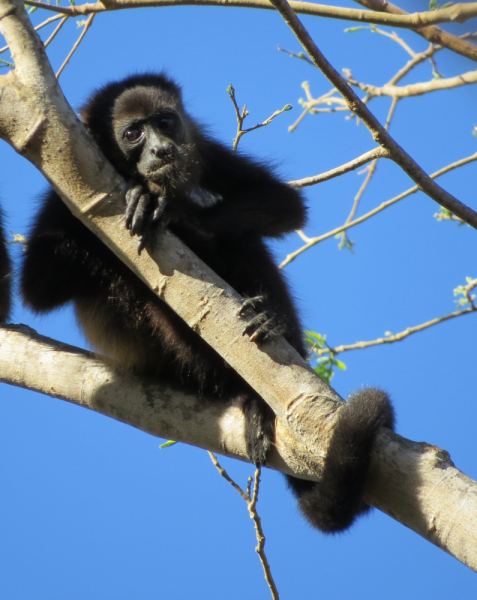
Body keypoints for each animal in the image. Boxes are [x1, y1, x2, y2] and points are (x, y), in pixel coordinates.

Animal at [21, 72, 394, 532]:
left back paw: (268, 337)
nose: (162, 150)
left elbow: (286, 204)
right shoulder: (66, 185)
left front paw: (179, 212)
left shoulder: (202, 149)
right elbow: (38, 287)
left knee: (242, 239)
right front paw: (145, 199)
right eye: (132, 133)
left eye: (166, 121)